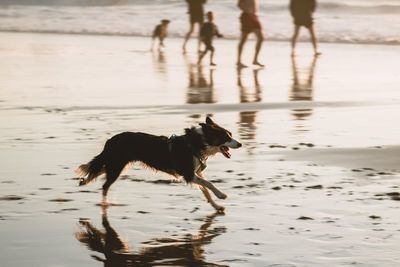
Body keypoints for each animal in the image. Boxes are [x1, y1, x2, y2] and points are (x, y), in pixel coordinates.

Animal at [76, 117, 242, 211]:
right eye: (226, 137)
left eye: (230, 135)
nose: (240, 144)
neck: (198, 143)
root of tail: (110, 140)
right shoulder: (189, 173)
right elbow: (209, 184)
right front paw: (221, 195)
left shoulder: (196, 172)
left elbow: (206, 190)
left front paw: (216, 206)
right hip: (117, 165)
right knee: (104, 184)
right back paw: (104, 203)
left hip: (115, 163)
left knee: (98, 170)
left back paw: (84, 181)